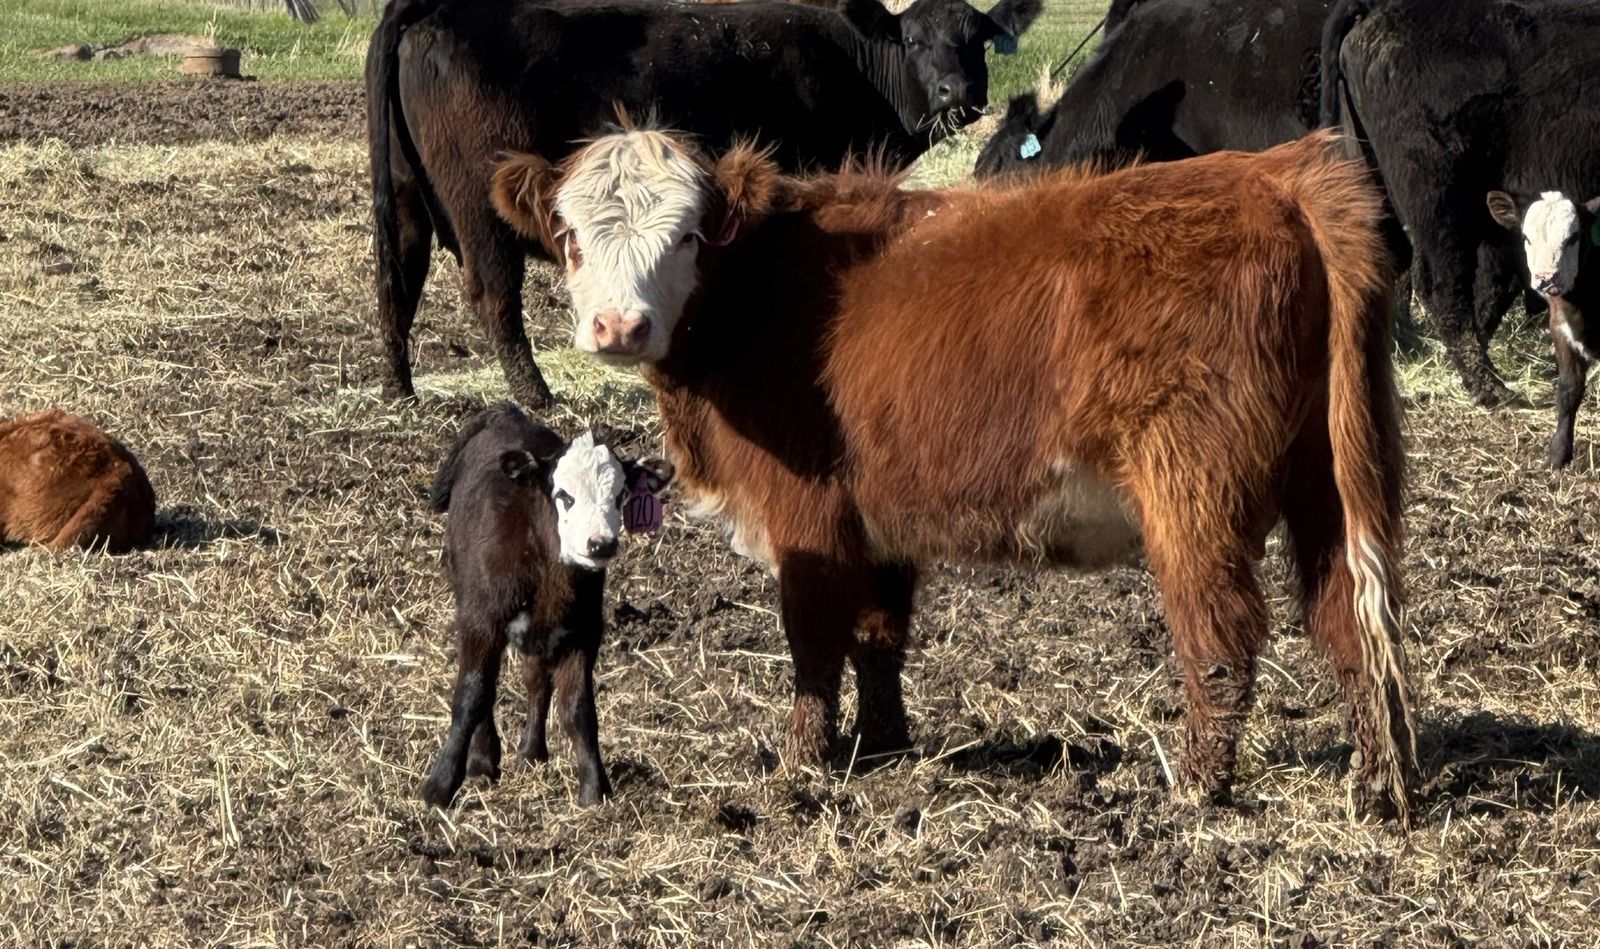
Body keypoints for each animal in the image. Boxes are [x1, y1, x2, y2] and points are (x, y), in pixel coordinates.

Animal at [366, 0, 1041, 409]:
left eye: (978, 41)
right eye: (915, 39)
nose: (959, 91)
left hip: (405, 198)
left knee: (397, 284)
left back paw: (399, 390)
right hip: (481, 211)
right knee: (494, 298)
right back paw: (537, 396)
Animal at [419, 404, 674, 807]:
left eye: (620, 495)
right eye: (564, 495)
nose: (600, 544)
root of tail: (507, 414)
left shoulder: (583, 629)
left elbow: (578, 707)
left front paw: (594, 790)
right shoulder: (481, 617)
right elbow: (472, 693)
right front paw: (440, 786)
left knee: (536, 679)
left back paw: (531, 751)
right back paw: (483, 759)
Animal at [486, 127, 1422, 822]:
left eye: (685, 235)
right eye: (570, 237)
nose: (618, 326)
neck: (762, 292)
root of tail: (1274, 171)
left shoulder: (808, 519)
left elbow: (813, 640)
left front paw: (801, 763)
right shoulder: (875, 518)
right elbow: (878, 635)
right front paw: (884, 746)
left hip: (1193, 493)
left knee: (1222, 637)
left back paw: (1193, 785)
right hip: (1327, 481)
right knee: (1349, 618)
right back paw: (1373, 783)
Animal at [1488, 190, 1600, 469]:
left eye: (1573, 237)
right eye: (1526, 237)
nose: (1545, 278)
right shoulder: (1560, 331)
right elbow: (1569, 390)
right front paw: (1559, 453)